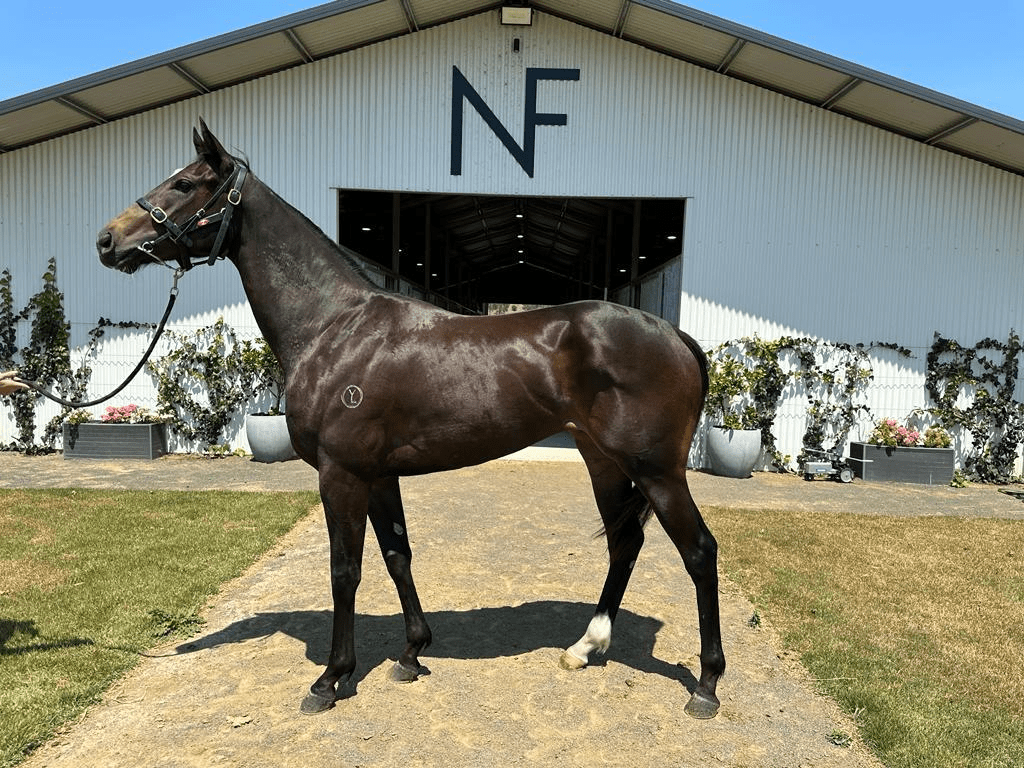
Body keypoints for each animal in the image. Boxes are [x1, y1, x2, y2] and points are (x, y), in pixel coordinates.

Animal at [96, 121, 725, 719]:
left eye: (185, 183)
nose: (107, 240)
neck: (333, 327)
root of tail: (675, 335)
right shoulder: (378, 475)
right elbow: (398, 555)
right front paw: (411, 653)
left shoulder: (342, 474)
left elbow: (344, 570)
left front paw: (331, 679)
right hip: (603, 461)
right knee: (624, 543)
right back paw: (584, 647)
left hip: (657, 471)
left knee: (699, 552)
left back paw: (707, 685)